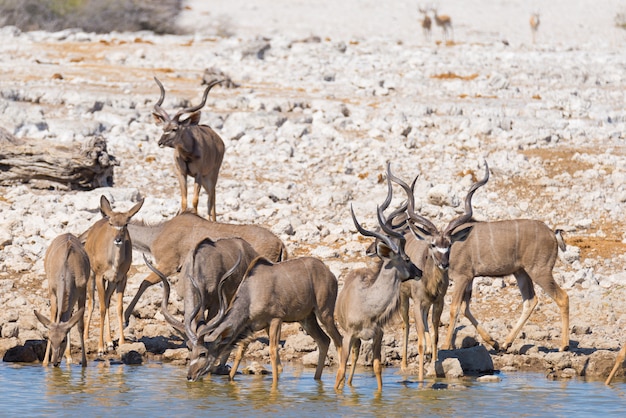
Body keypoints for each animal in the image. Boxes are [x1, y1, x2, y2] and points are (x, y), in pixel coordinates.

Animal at [33, 233, 89, 368]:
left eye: (63, 339)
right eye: (49, 338)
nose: (55, 362)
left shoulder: (83, 291)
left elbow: (80, 325)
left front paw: (84, 362)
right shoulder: (52, 291)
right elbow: (53, 319)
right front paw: (45, 362)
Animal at [80, 194, 143, 354]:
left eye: (126, 224)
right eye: (111, 223)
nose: (118, 239)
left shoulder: (121, 278)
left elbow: (119, 308)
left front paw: (121, 342)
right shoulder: (99, 276)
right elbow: (101, 308)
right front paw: (100, 348)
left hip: (111, 282)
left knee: (107, 301)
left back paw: (109, 341)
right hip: (91, 276)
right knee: (92, 303)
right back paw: (86, 336)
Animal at [152, 76, 225, 220]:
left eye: (175, 128)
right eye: (163, 128)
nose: (160, 142)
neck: (187, 154)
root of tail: (220, 141)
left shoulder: (198, 175)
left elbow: (195, 200)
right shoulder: (182, 173)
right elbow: (184, 200)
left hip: (212, 174)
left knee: (212, 198)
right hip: (206, 178)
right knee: (210, 197)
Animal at [334, 204, 416, 390]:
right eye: (407, 259)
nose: (420, 272)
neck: (367, 305)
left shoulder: (378, 335)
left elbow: (377, 367)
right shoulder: (348, 336)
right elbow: (340, 370)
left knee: (356, 357)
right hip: (354, 338)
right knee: (352, 358)